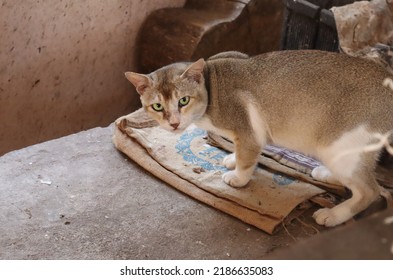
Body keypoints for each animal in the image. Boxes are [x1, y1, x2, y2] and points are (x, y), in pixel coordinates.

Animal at [125, 50, 392, 228]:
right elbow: (241, 152)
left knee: (370, 191)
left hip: (339, 144)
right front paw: (233, 159)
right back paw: (325, 174)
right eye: (157, 106)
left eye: (183, 100)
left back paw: (334, 215)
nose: (173, 123)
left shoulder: (249, 133)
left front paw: (238, 178)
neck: (212, 85)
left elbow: (247, 159)